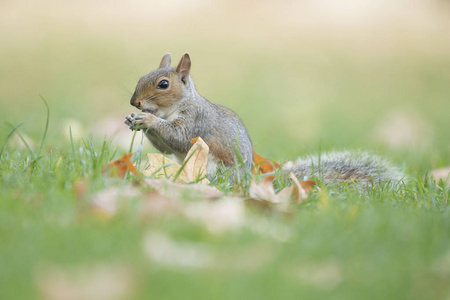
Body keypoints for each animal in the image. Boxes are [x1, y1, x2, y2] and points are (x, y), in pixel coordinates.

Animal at [124, 52, 404, 186]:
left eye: (163, 84)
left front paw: (147, 120)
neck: (177, 106)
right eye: (141, 77)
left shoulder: (196, 122)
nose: (134, 103)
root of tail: (249, 180)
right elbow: (164, 147)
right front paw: (132, 119)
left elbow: (179, 139)